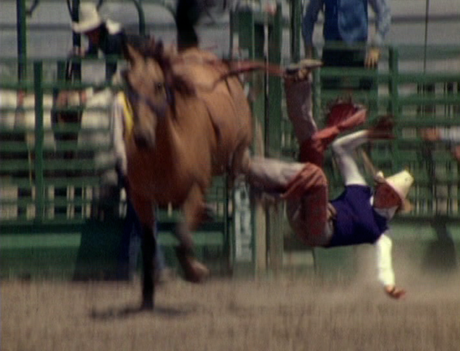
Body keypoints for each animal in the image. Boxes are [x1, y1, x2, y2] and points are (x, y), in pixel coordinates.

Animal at [121, 38, 252, 308]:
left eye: (159, 84)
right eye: (129, 83)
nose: (142, 136)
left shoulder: (194, 191)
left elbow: (181, 233)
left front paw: (196, 272)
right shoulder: (141, 199)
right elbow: (149, 244)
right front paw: (147, 296)